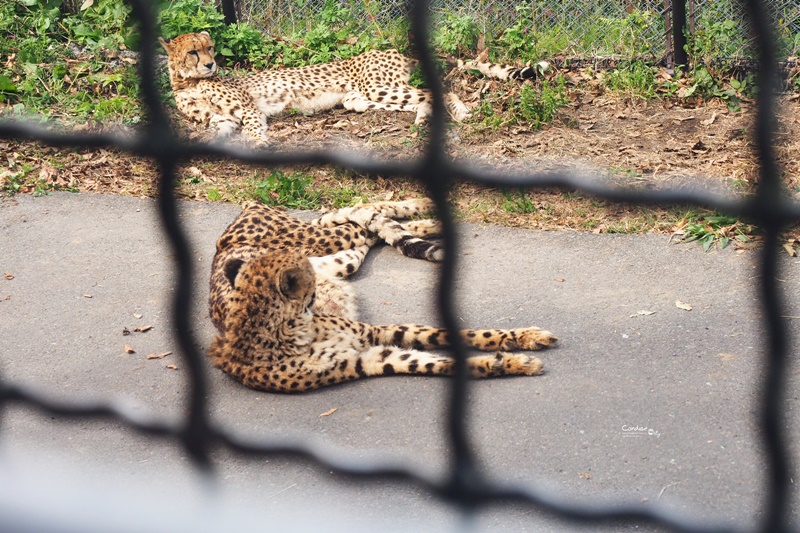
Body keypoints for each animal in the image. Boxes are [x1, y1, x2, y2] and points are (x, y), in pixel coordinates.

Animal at [162, 31, 552, 143]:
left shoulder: (248, 108)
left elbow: (254, 127)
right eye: (193, 51)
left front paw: (257, 144)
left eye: (210, 47)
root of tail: (391, 50)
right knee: (417, 100)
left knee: (440, 92)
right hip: (363, 97)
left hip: (378, 87)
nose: (211, 63)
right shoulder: (223, 118)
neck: (187, 82)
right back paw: (423, 118)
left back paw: (461, 111)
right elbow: (218, 127)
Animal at [206, 198, 556, 390]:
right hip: (340, 256)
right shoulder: (369, 359)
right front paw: (508, 364)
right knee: (365, 229)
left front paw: (521, 338)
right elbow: (439, 362)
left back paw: (423, 208)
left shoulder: (374, 332)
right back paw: (427, 221)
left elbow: (461, 333)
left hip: (325, 241)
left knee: (361, 215)